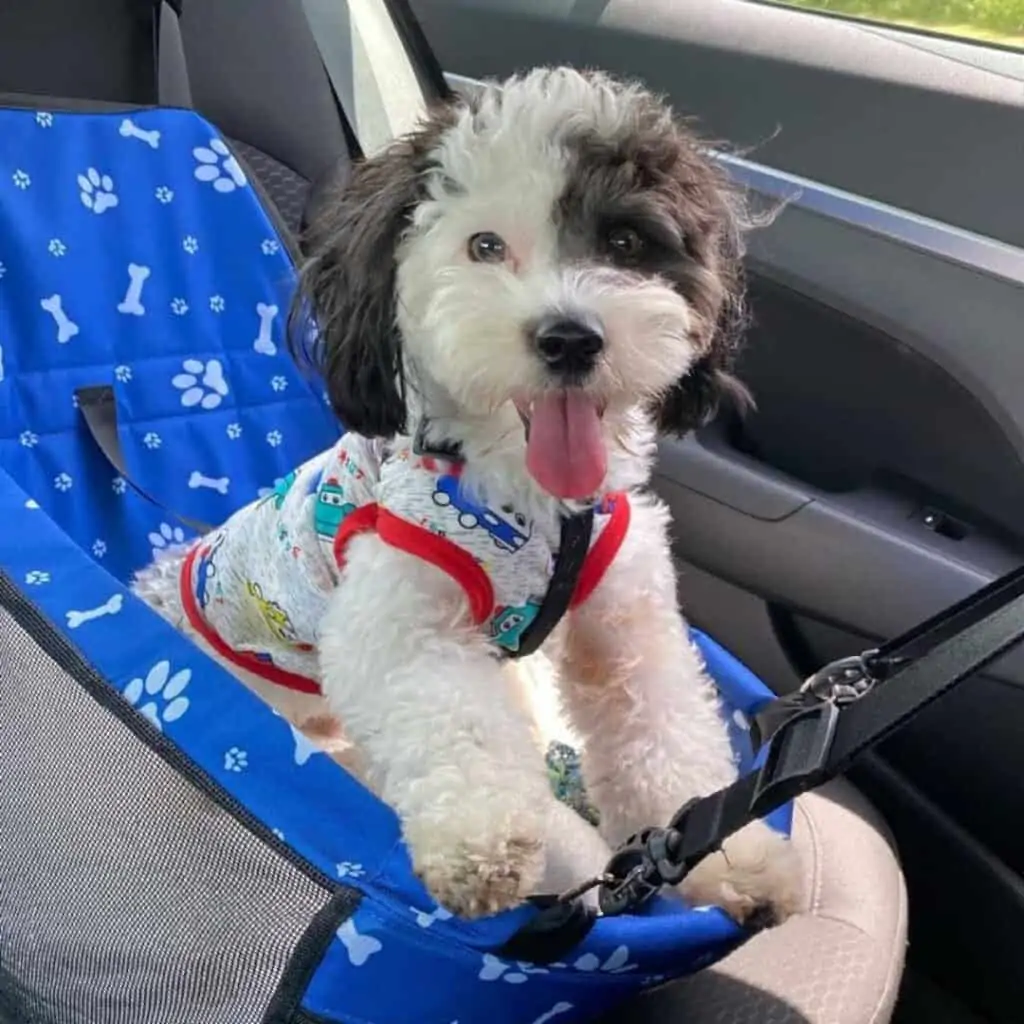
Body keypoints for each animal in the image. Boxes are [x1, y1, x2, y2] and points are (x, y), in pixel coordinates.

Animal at [134, 68, 798, 925]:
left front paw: (729, 859)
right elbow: (451, 719)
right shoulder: (397, 619)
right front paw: (481, 843)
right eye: (484, 247)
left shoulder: (629, 623)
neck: (533, 503)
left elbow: (666, 734)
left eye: (624, 242)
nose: (570, 338)